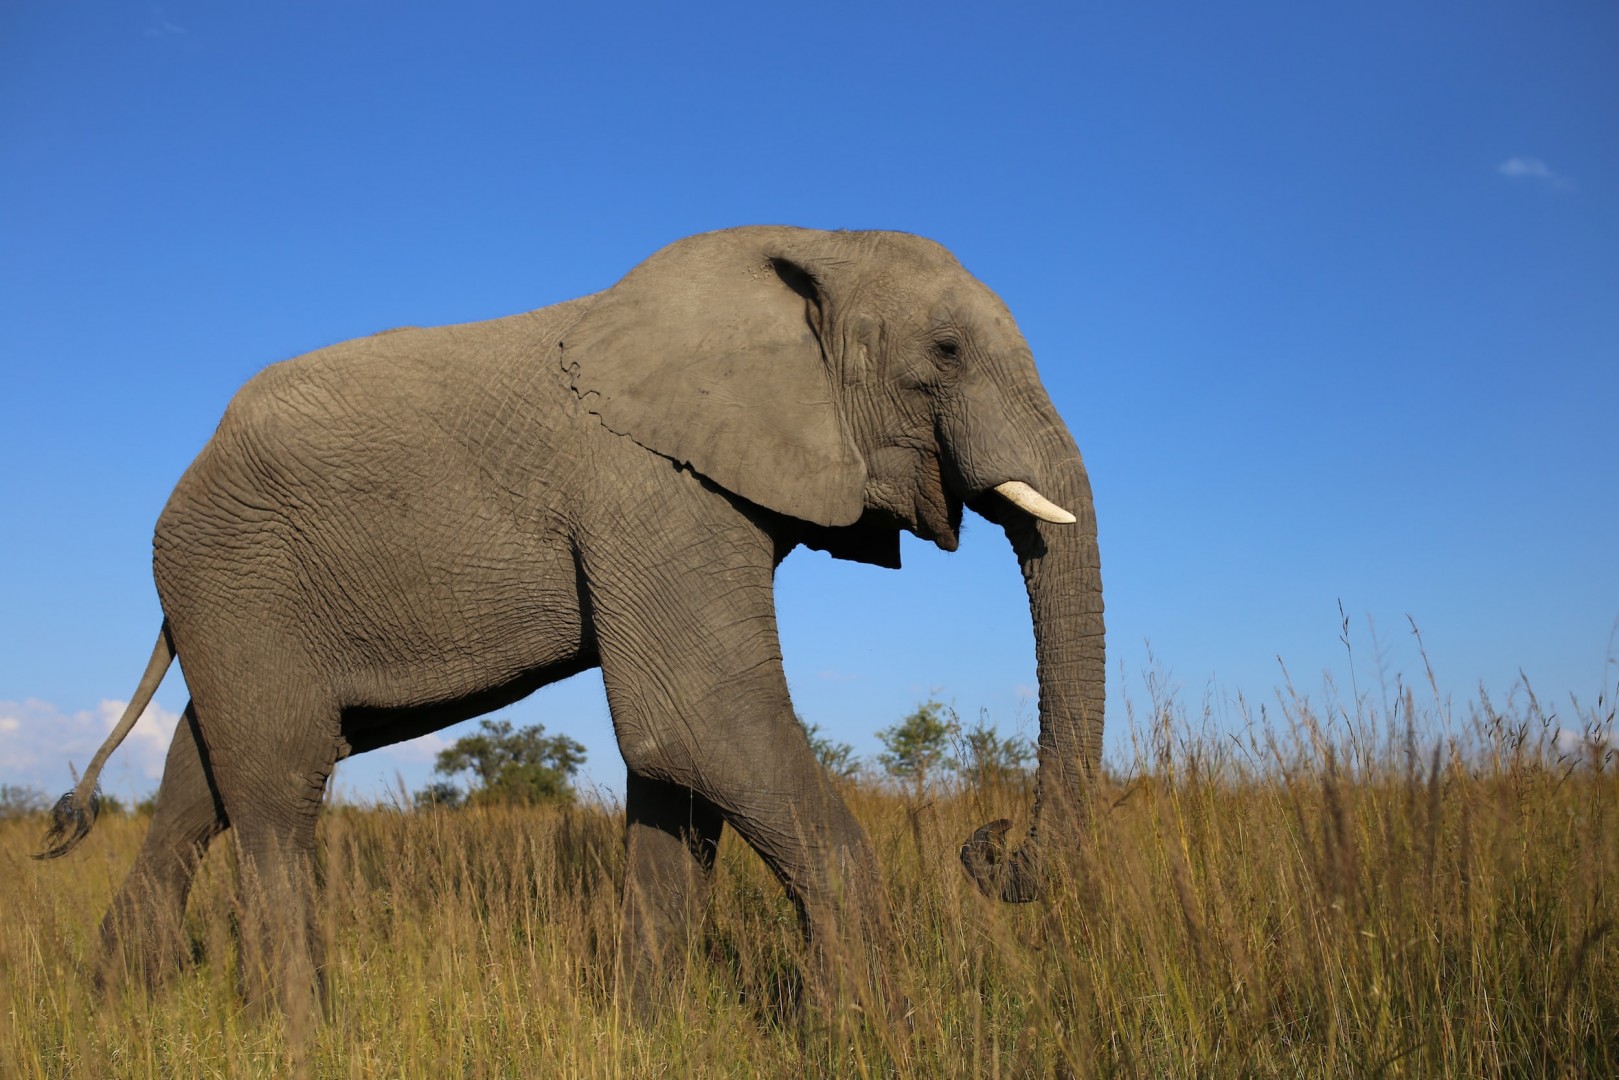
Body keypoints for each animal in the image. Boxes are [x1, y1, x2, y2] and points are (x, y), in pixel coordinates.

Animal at [38, 223, 1107, 1016]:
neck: (804, 248)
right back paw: (300, 1030)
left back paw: (118, 1005)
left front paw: (649, 1029)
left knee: (201, 774)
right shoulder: (647, 485)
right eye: (946, 352)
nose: (988, 841)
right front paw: (862, 1034)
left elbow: (678, 769)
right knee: (278, 779)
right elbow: (697, 724)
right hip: (233, 574)